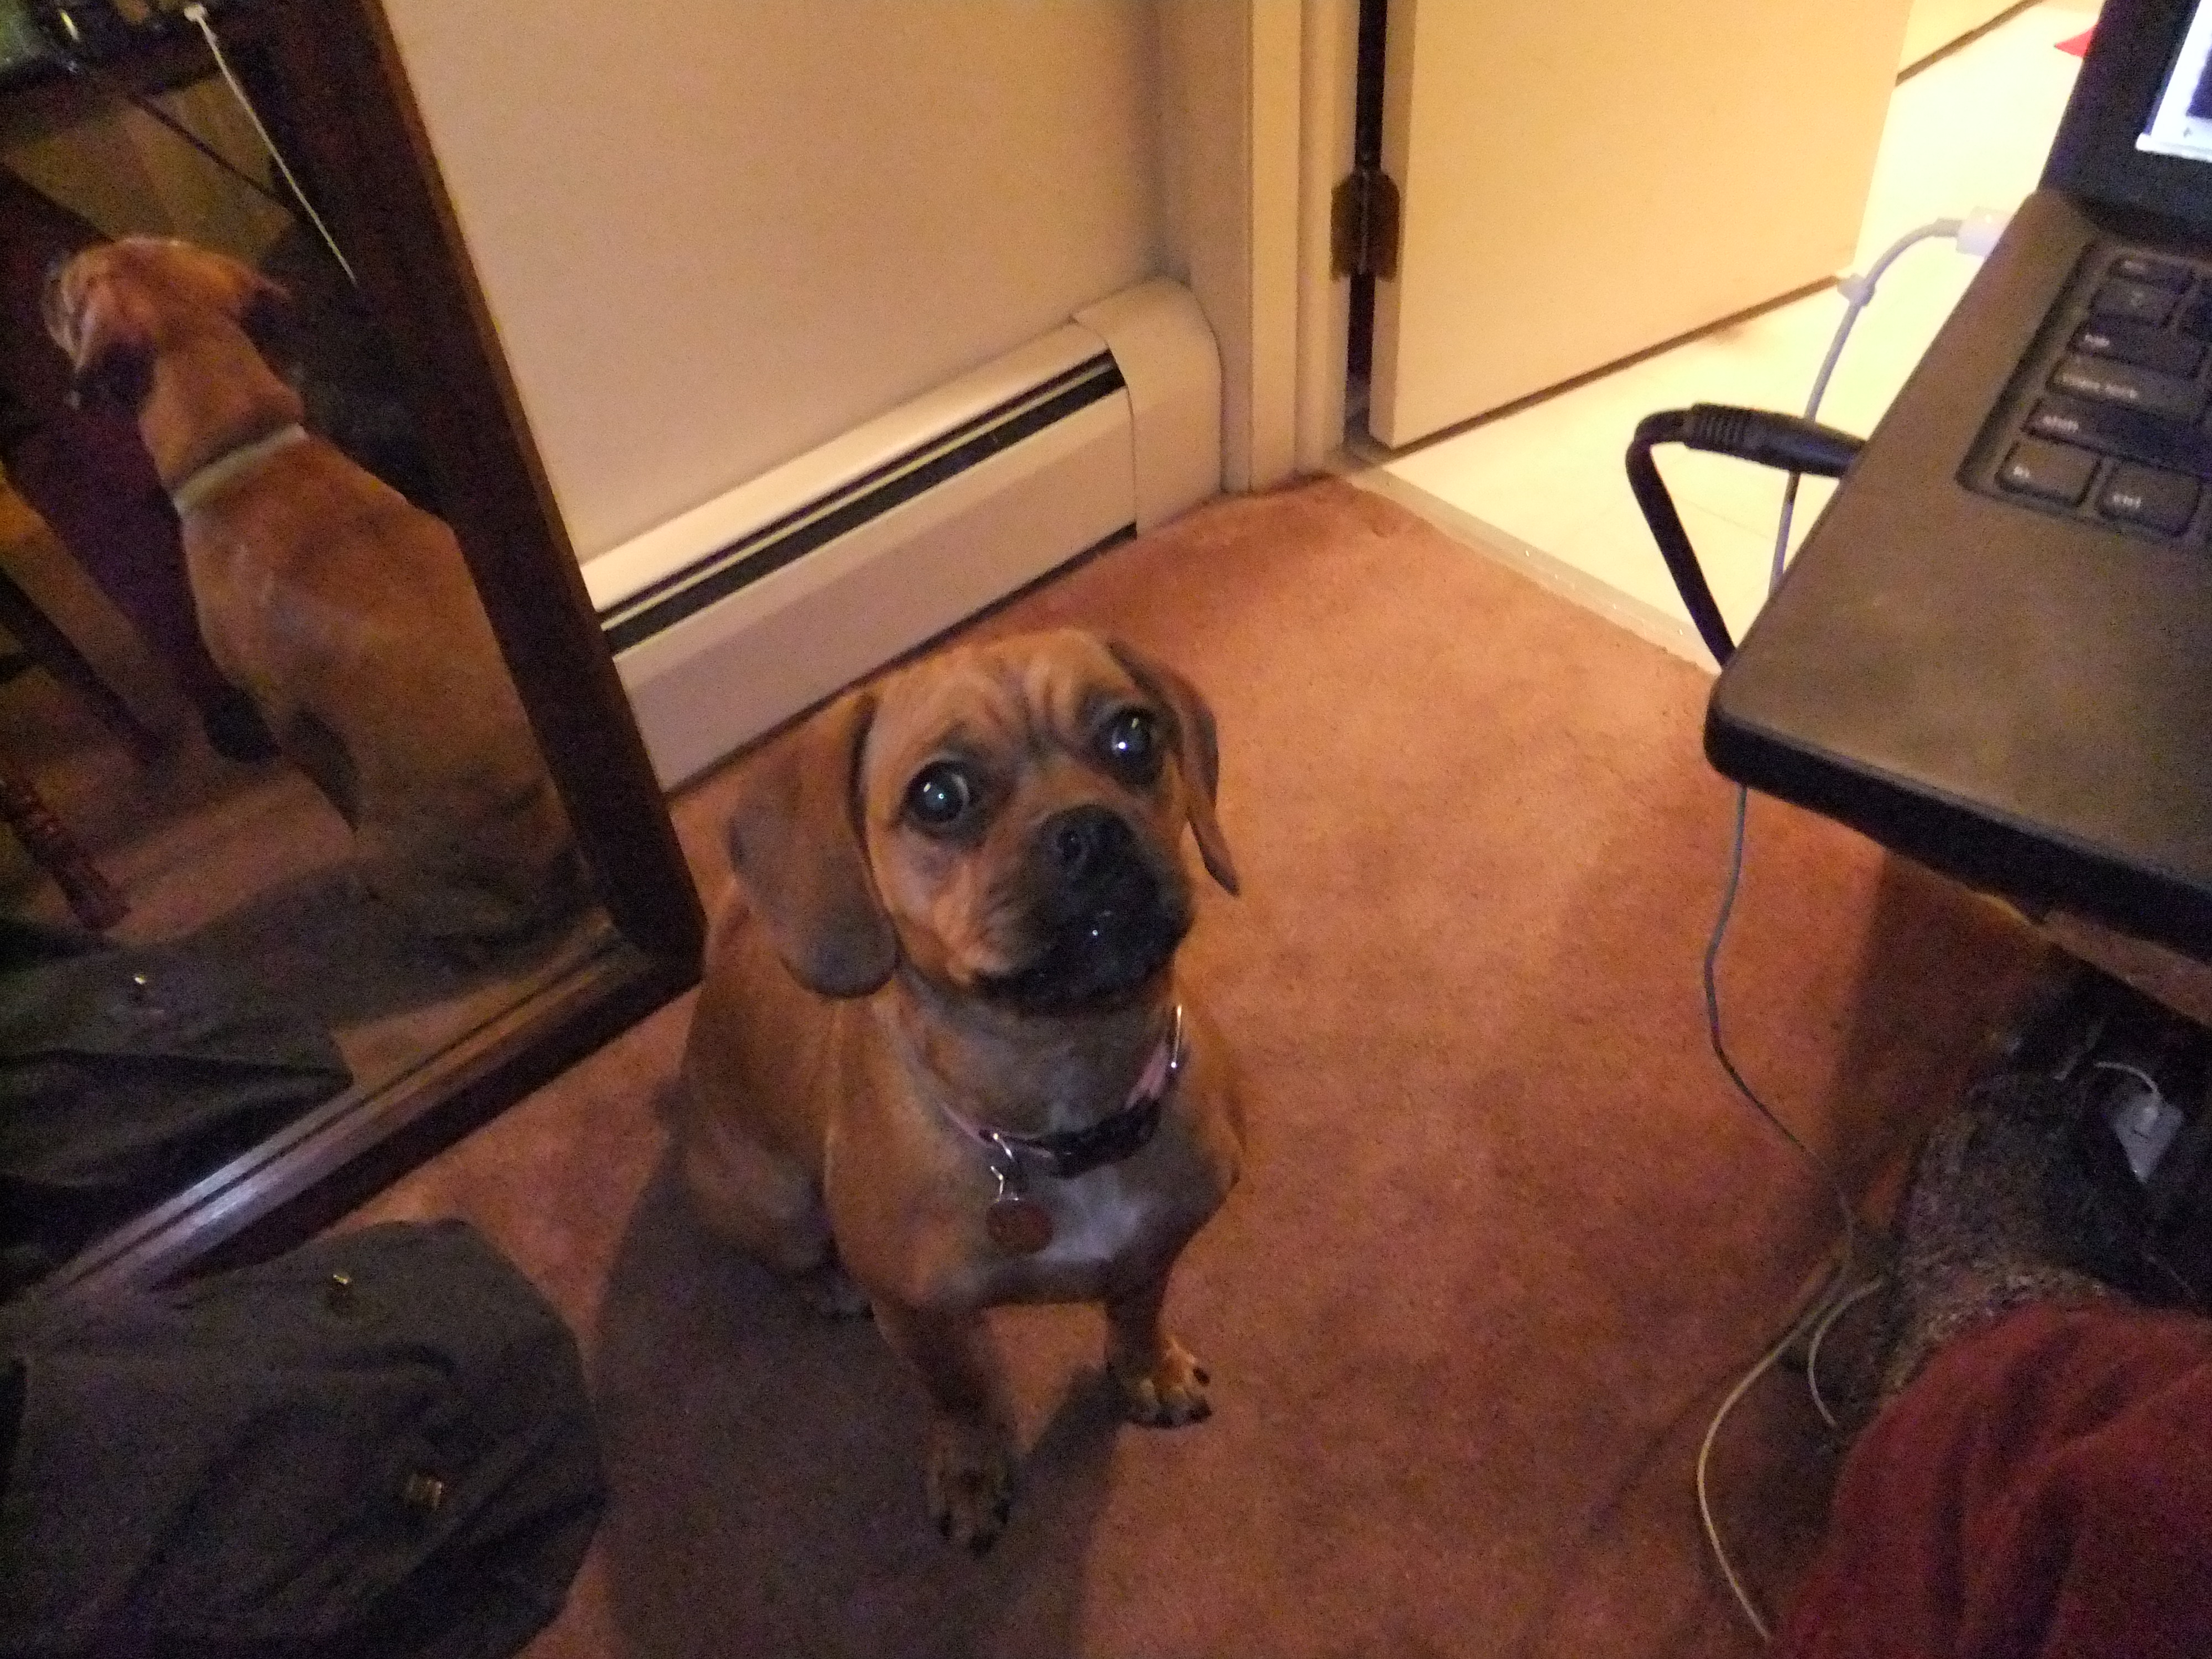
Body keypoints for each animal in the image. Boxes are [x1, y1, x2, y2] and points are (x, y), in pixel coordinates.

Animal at [42, 237, 578, 944]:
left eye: (72, 292)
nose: (49, 265)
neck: (246, 448)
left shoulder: (285, 719)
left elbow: (331, 790)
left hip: (379, 851)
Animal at [675, 628, 1245, 1551]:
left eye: (1134, 736)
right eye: (940, 795)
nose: (1093, 830)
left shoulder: (1161, 1241)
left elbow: (1136, 1310)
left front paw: (1147, 1370)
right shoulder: (921, 1317)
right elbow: (964, 1394)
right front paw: (974, 1468)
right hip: (781, 1207)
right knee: (792, 1258)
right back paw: (826, 1286)